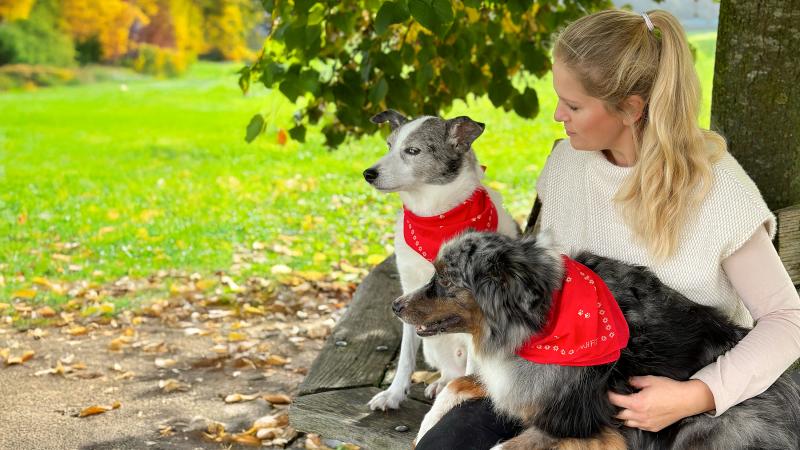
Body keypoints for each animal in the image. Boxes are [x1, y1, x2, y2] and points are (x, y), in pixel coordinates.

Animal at [364, 110, 520, 410]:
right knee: (450, 371)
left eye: (413, 151)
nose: (368, 173)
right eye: (389, 145)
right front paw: (394, 393)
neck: (434, 218)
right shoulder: (408, 293)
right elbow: (405, 357)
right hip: (433, 345)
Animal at [394, 230, 800, 449]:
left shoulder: (598, 429)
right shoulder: (518, 380)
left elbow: (503, 444)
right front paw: (426, 426)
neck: (543, 321)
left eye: (445, 280)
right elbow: (459, 384)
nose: (396, 305)